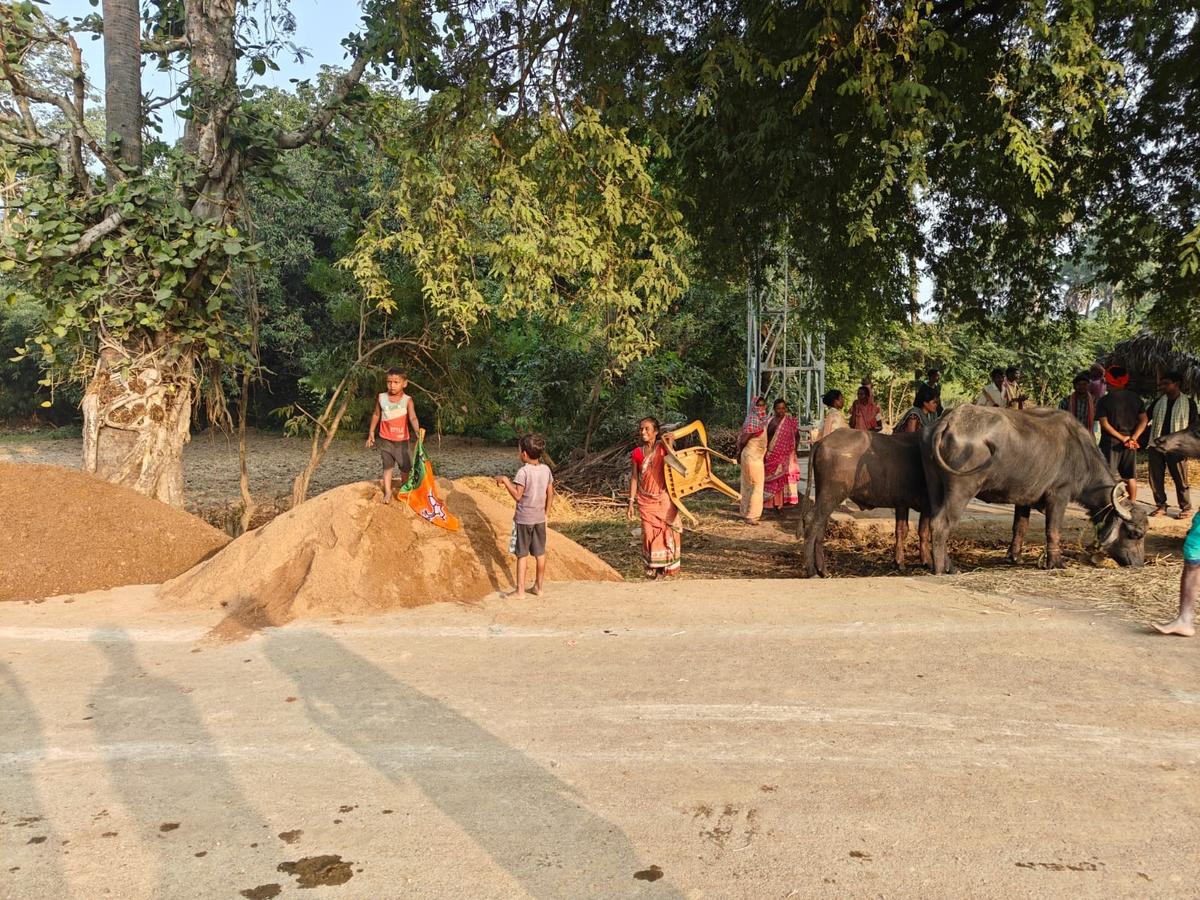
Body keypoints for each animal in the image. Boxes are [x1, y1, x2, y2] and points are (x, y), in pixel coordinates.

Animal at [801, 429, 931, 578]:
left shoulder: (902, 504)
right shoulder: (927, 505)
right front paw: (927, 562)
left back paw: (823, 570)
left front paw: (899, 562)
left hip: (823, 495)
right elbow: (923, 531)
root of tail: (821, 441)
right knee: (812, 520)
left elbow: (902, 530)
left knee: (820, 524)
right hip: (832, 494)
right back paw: (812, 571)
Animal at [921, 408, 1147, 573]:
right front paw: (1055, 563)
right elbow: (1053, 530)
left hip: (935, 487)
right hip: (962, 489)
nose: (1138, 563)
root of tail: (950, 420)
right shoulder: (1059, 495)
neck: (1082, 455)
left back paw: (946, 564)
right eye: (1134, 533)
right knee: (941, 523)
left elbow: (1020, 527)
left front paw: (1014, 557)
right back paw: (941, 569)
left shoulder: (1024, 499)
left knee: (931, 520)